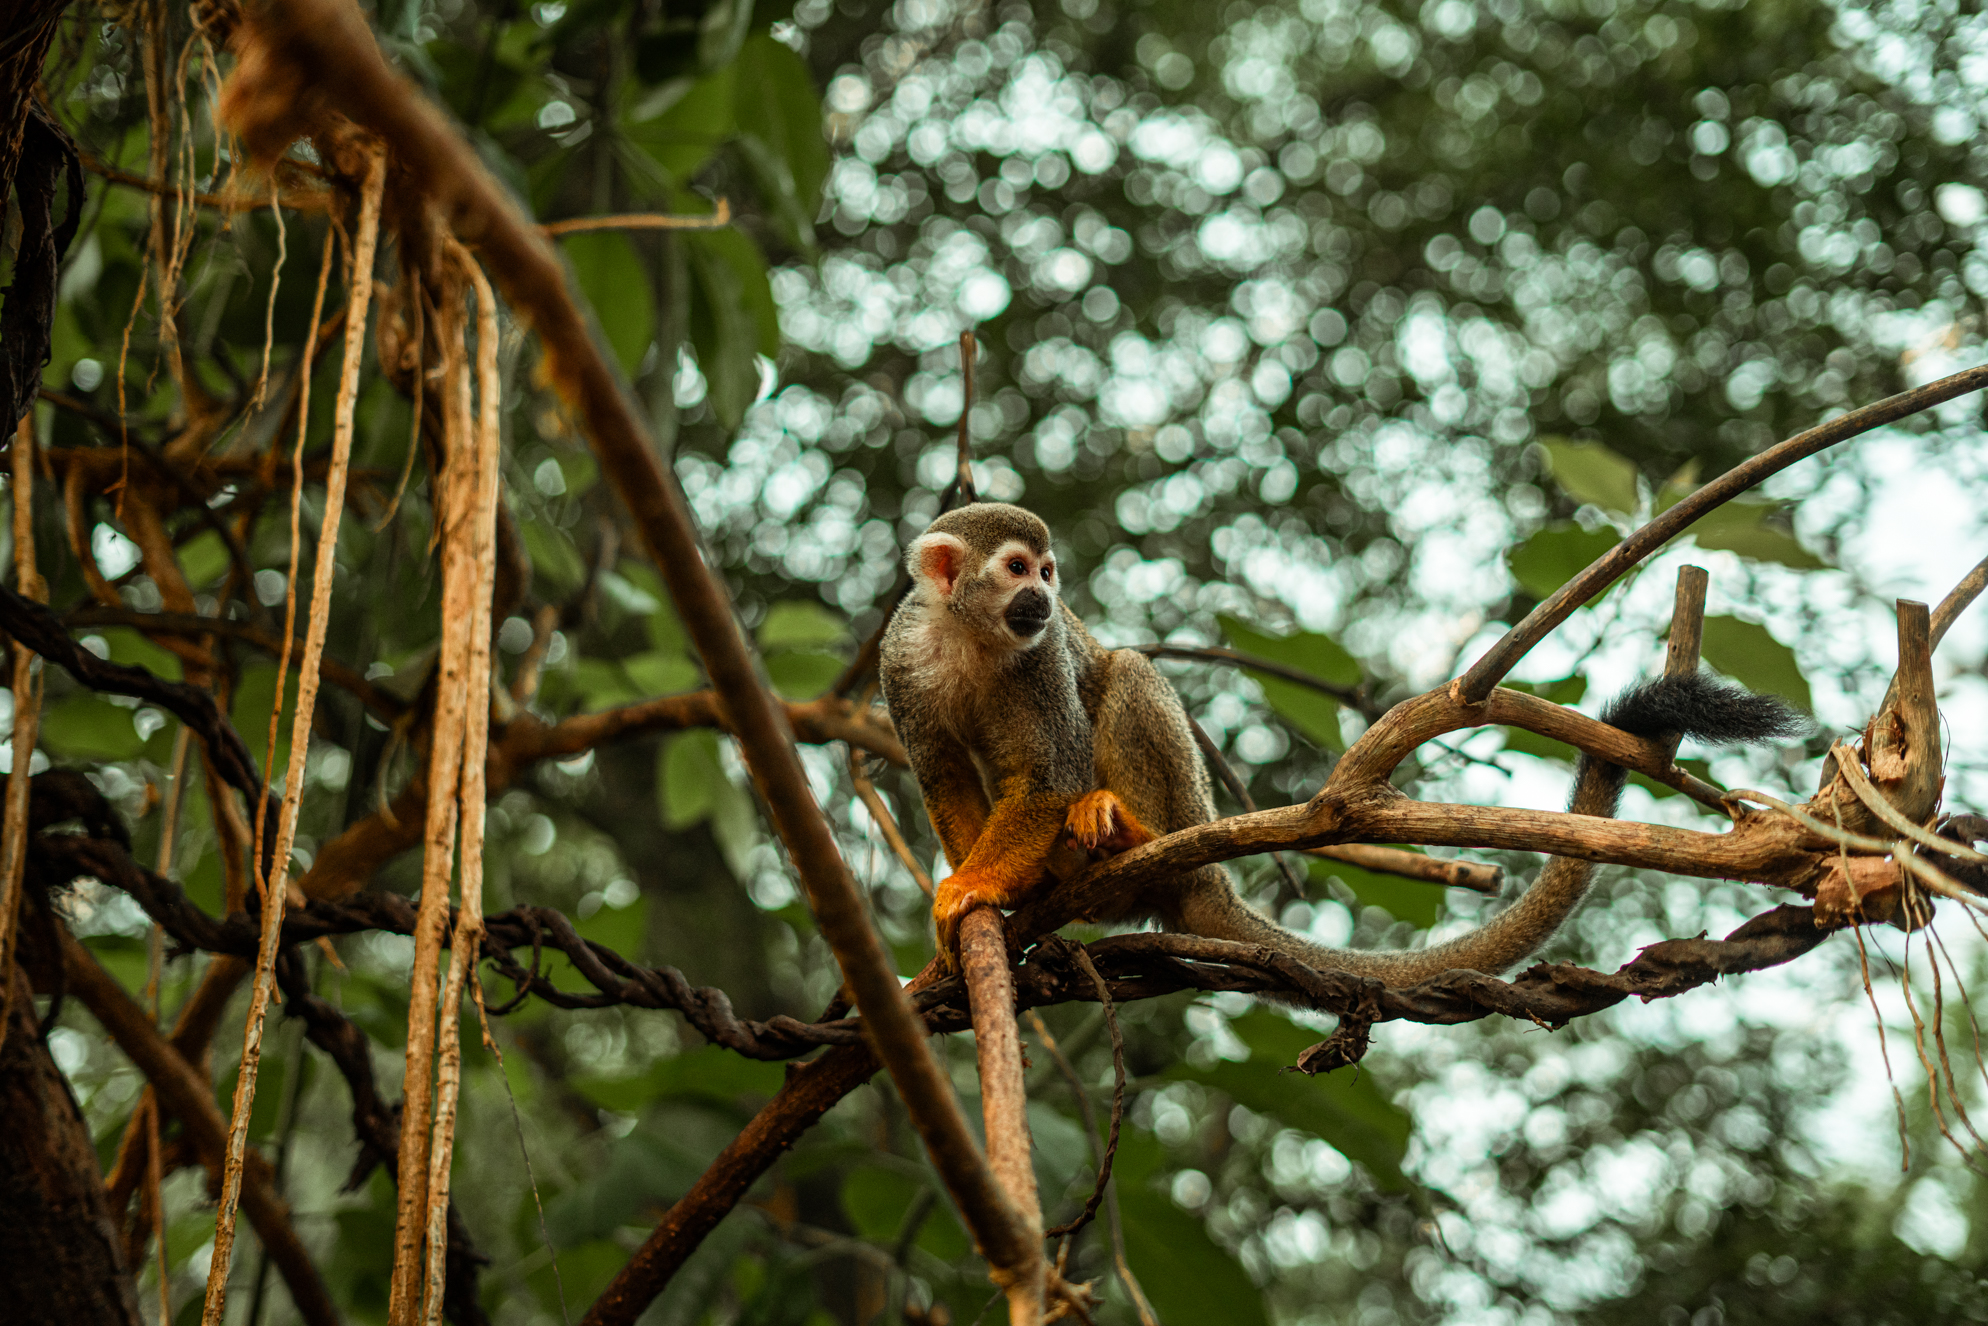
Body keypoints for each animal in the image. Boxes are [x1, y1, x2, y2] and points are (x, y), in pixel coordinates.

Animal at [878, 502, 1803, 986]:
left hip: (1184, 815)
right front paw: (978, 898)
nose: (1041, 599)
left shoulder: (1039, 661)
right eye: (1016, 569)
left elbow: (1052, 774)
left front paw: (973, 890)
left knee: (1128, 673)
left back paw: (1123, 835)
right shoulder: (902, 658)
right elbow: (940, 774)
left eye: (1047, 575)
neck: (974, 638)